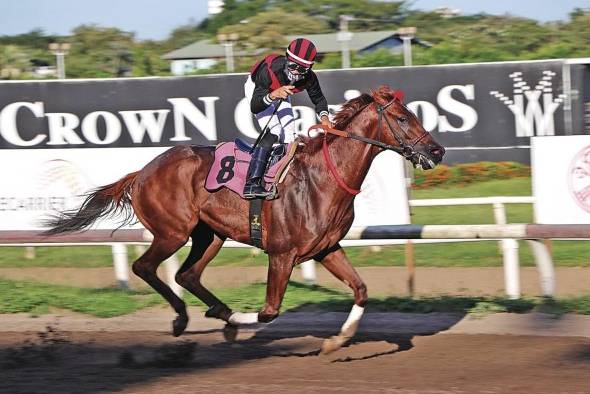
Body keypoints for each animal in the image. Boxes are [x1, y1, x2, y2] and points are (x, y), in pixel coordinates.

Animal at [45, 85, 444, 354]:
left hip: (210, 235)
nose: (437, 150)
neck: (322, 179)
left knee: (187, 274)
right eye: (403, 117)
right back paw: (185, 318)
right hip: (173, 232)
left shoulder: (327, 248)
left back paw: (215, 311)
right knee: (145, 267)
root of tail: (141, 172)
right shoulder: (282, 254)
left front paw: (337, 340)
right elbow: (268, 312)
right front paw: (238, 320)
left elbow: (361, 289)